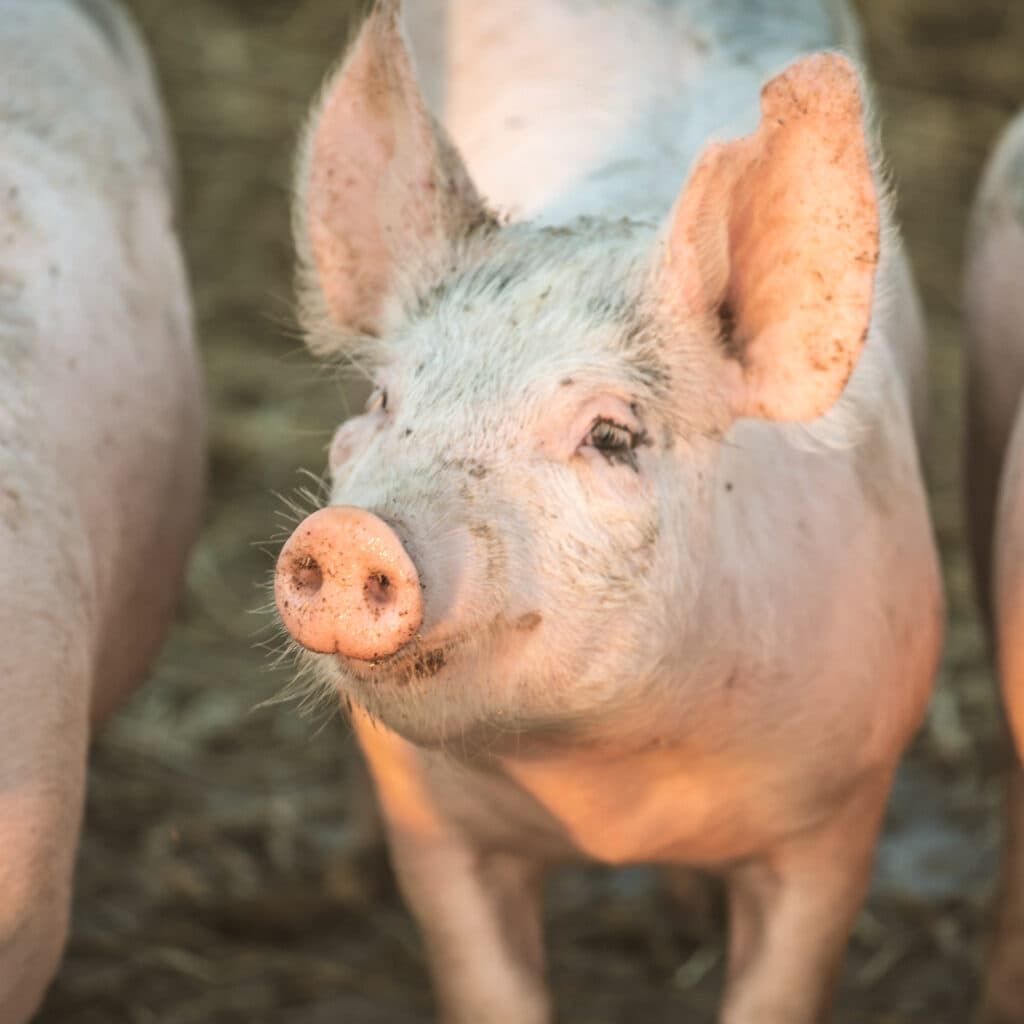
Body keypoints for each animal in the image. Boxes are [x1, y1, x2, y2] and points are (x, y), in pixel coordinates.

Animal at [272, 2, 942, 1024]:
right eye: (387, 400)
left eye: (612, 435)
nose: (350, 535)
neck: (610, 787)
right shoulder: (439, 833)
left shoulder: (838, 817)